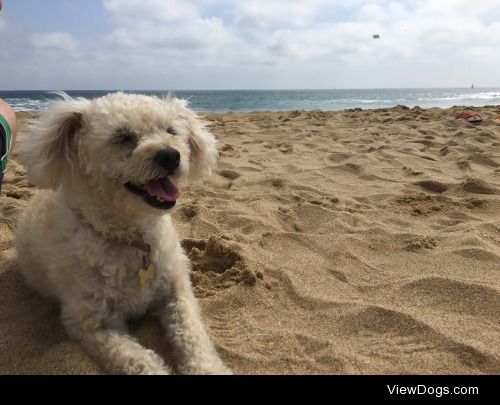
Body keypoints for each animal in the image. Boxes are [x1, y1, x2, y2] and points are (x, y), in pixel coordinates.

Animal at [15, 91, 230, 372]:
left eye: (171, 130)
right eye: (123, 137)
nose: (170, 155)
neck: (132, 238)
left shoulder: (177, 292)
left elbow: (192, 336)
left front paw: (207, 368)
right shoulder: (93, 324)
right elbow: (141, 361)